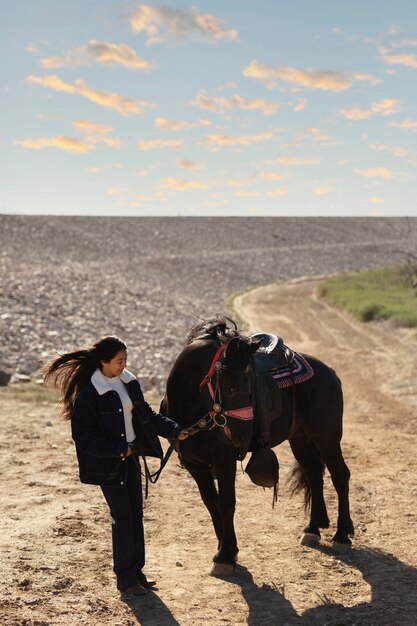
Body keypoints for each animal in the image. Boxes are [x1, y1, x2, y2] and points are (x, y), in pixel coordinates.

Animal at [161, 314, 352, 572]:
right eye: (230, 385)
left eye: (250, 383)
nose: (240, 436)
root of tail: (330, 372)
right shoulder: (194, 465)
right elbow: (211, 503)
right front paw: (227, 548)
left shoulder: (224, 459)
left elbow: (227, 502)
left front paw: (225, 556)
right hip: (300, 440)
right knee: (314, 475)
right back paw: (313, 529)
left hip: (327, 437)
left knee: (340, 476)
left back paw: (342, 535)